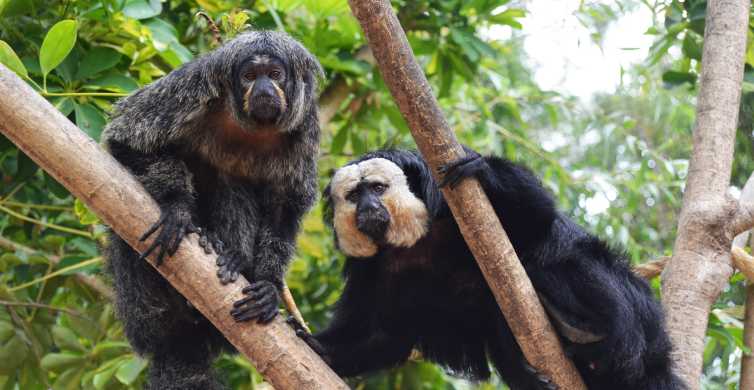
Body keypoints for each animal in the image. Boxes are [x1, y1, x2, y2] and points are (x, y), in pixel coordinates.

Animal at [100, 31, 324, 390]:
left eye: (275, 75)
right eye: (250, 76)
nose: (263, 88)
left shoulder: (305, 127)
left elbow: (285, 207)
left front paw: (269, 284)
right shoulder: (192, 88)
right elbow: (127, 140)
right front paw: (178, 207)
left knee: (232, 183)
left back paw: (233, 256)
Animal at [290, 148, 688, 388]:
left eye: (376, 187)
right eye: (353, 195)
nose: (367, 208)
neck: (418, 240)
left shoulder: (451, 206)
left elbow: (536, 222)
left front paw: (482, 170)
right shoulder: (369, 268)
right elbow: (381, 333)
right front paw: (320, 348)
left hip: (638, 315)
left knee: (557, 264)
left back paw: (583, 329)